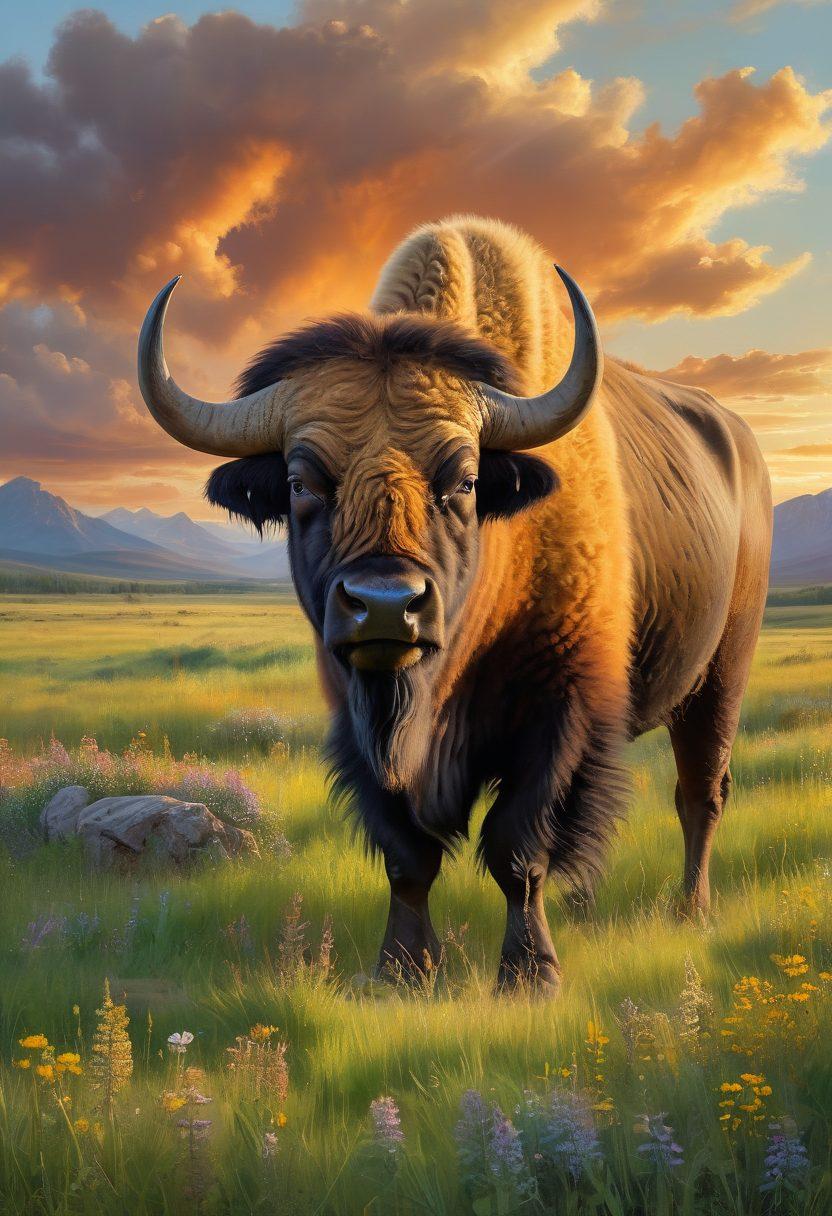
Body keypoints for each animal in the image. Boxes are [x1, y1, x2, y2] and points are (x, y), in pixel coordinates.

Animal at [138, 215, 772, 993]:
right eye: (298, 482)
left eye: (465, 480)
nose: (385, 605)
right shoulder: (359, 717)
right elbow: (408, 856)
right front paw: (400, 972)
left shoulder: (559, 710)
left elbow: (517, 848)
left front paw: (531, 976)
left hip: (721, 675)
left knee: (699, 792)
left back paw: (690, 912)